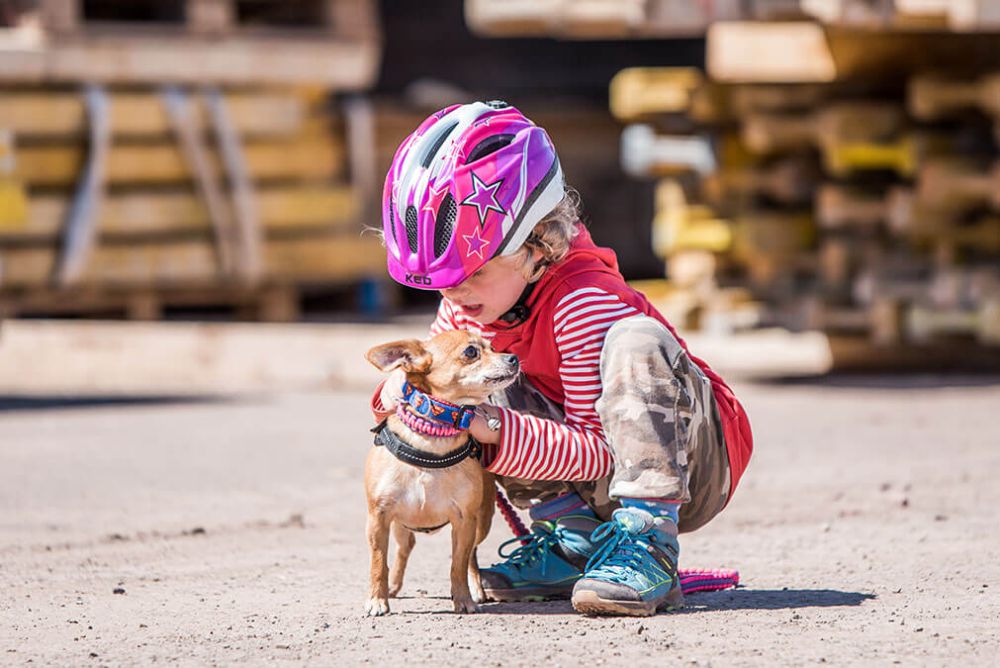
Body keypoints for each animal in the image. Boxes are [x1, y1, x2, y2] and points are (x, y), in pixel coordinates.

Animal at [364, 330, 520, 616]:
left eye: (493, 347)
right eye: (471, 352)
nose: (513, 358)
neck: (432, 441)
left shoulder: (464, 520)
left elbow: (457, 564)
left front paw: (463, 599)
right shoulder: (378, 518)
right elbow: (378, 562)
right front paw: (377, 600)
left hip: (481, 522)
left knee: (472, 556)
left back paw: (476, 588)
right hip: (399, 525)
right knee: (404, 549)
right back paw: (393, 586)